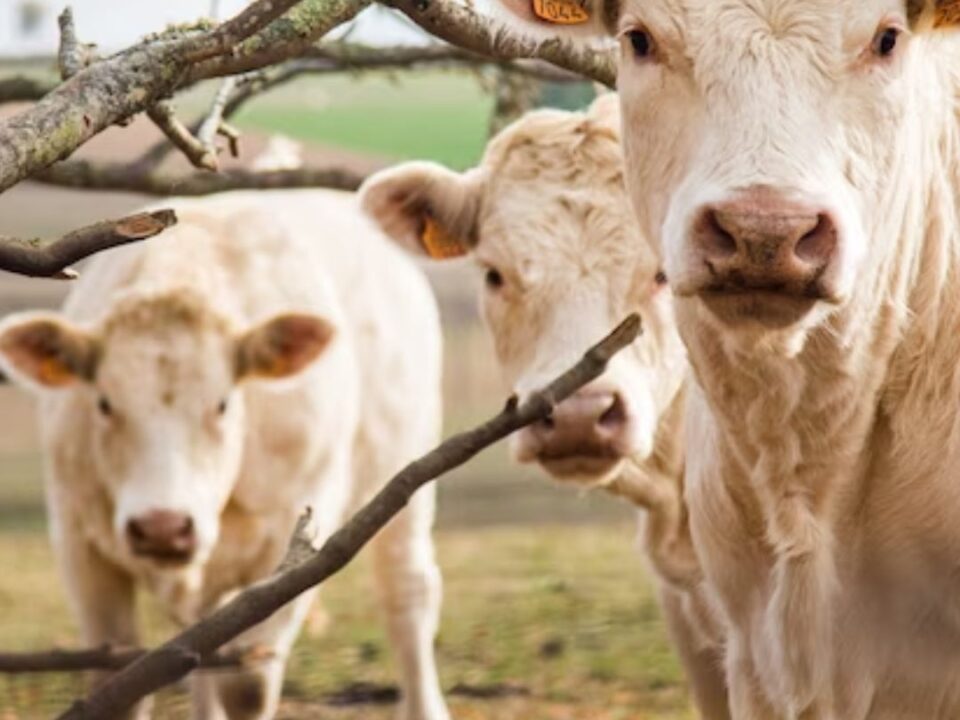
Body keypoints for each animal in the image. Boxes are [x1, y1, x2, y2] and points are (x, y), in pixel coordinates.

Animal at [0, 190, 450, 720]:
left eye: (223, 403)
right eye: (104, 403)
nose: (162, 526)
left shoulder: (295, 539)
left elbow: (247, 683)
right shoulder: (78, 540)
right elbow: (122, 679)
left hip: (407, 468)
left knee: (407, 593)